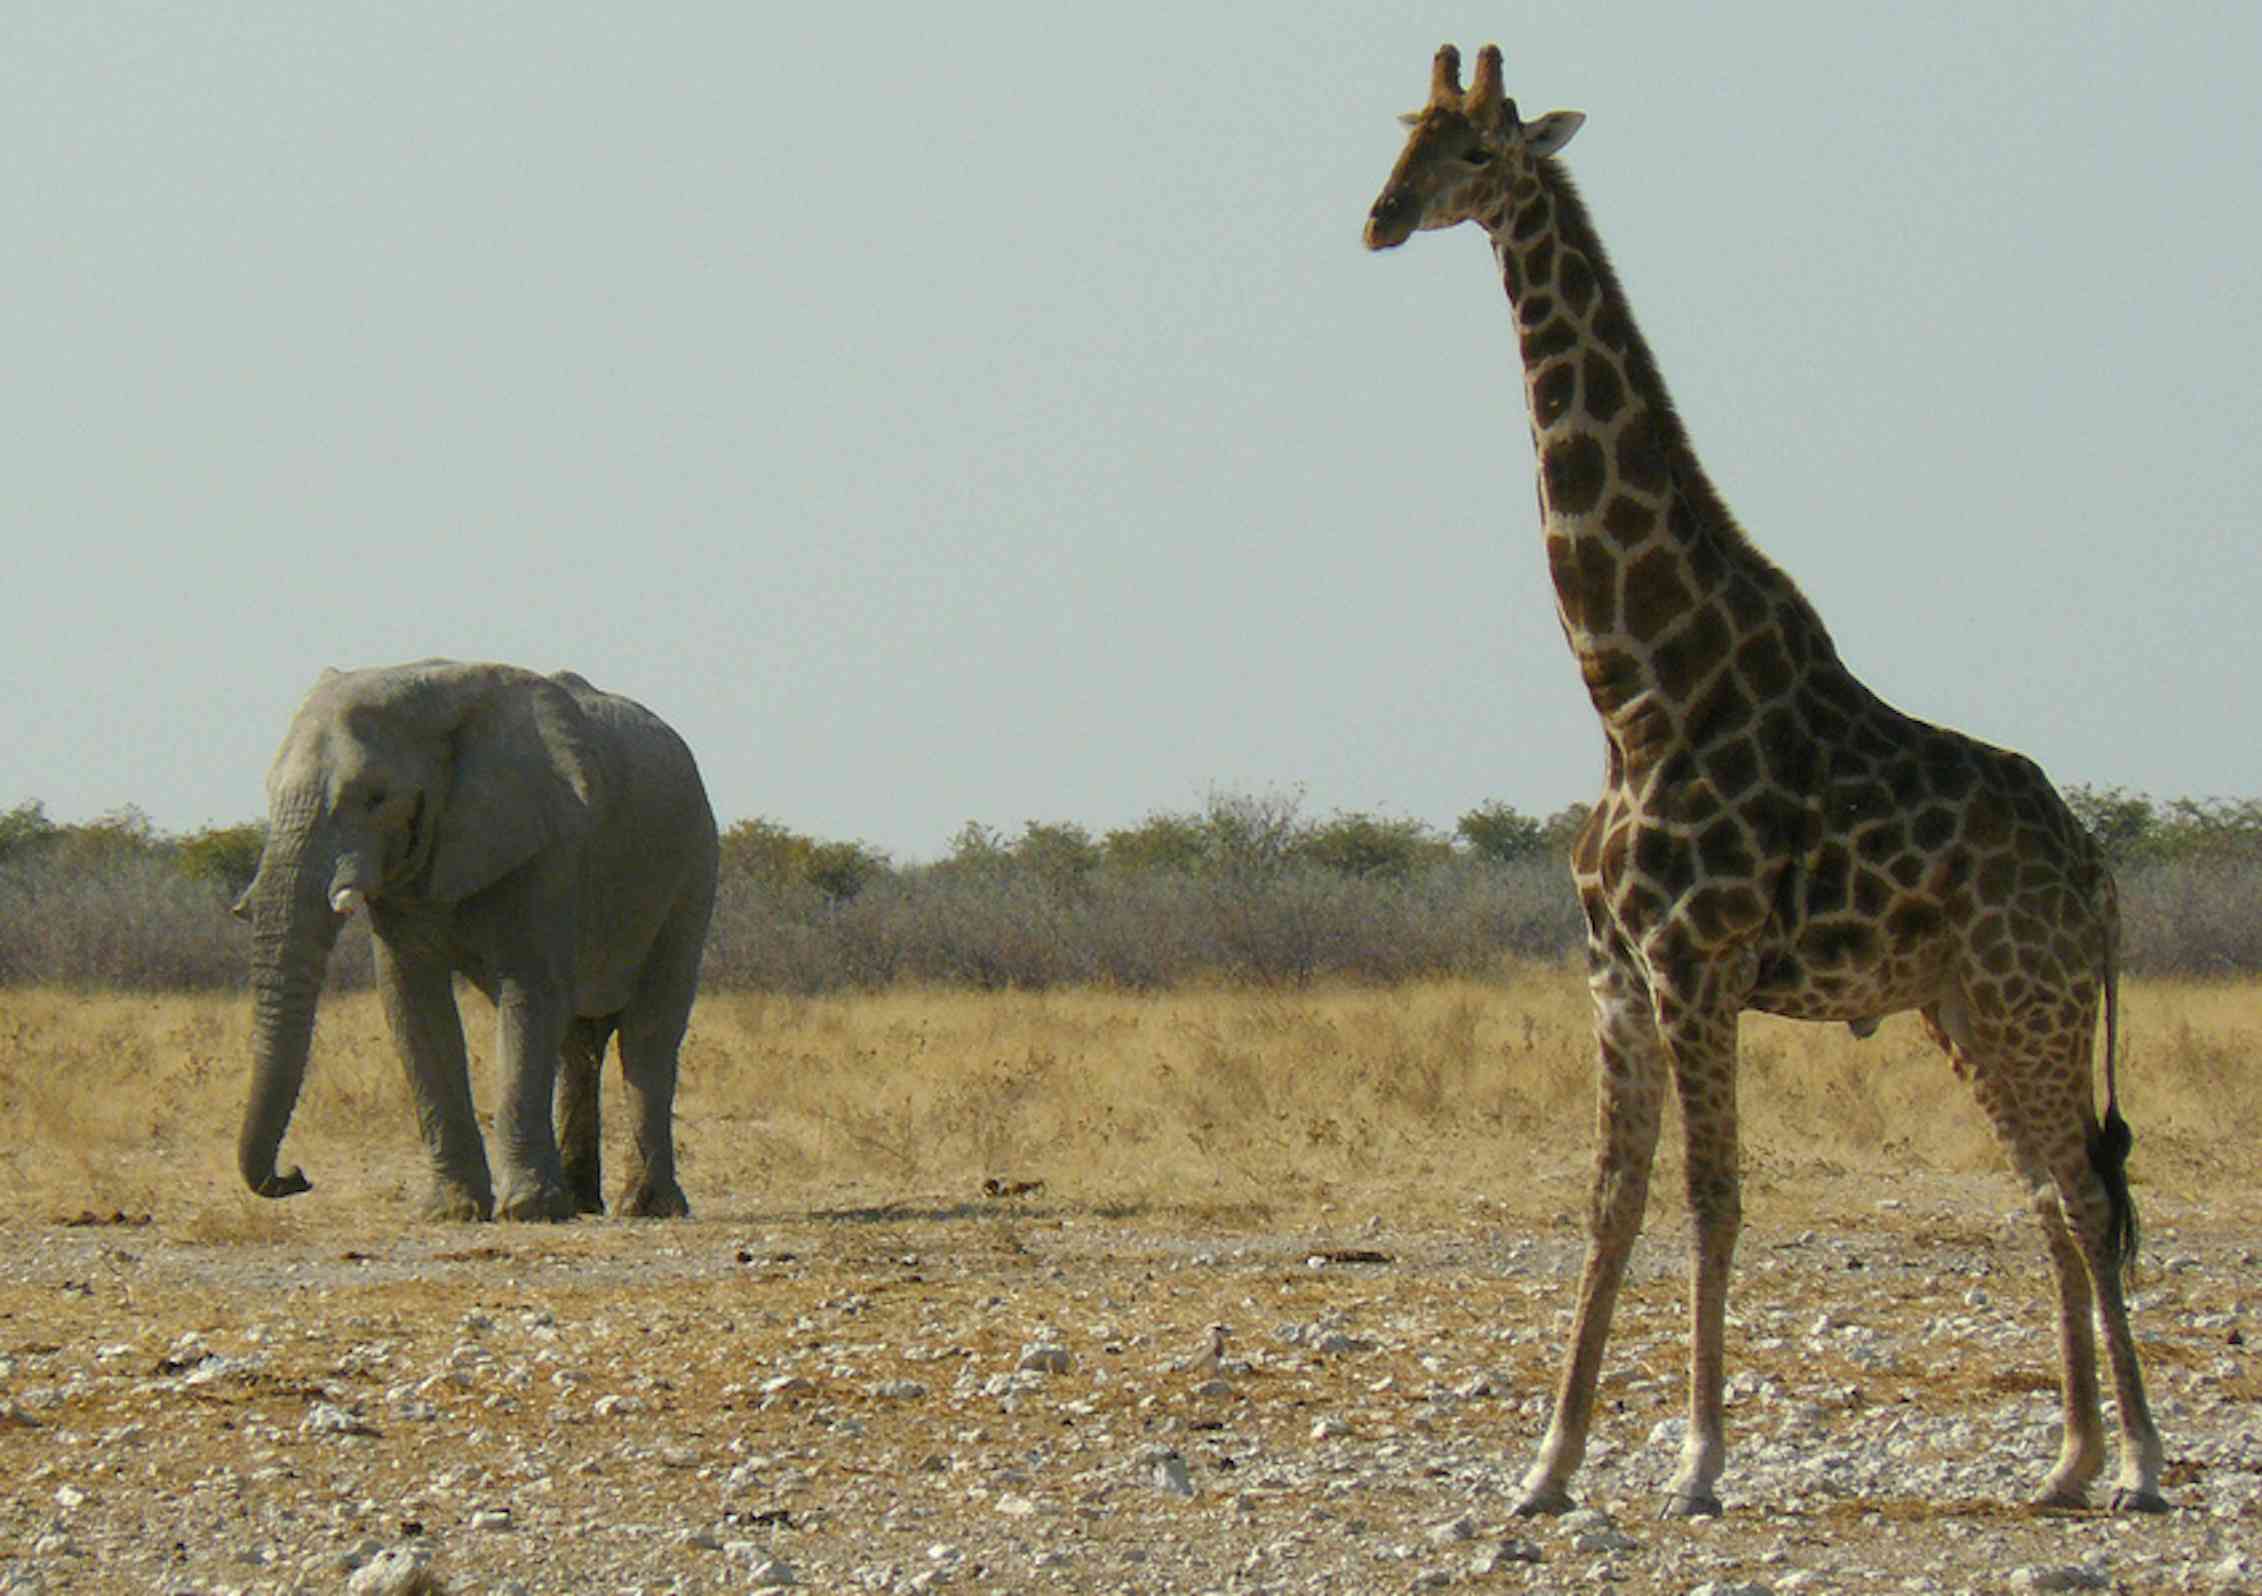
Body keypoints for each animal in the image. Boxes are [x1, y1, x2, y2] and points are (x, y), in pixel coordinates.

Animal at [1362, 45, 2166, 1518]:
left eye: (1480, 150)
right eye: (1402, 136)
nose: (1381, 219)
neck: (1632, 691)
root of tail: (2099, 870)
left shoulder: (1697, 964)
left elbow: (1711, 1197)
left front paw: (1695, 1461)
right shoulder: (1614, 975)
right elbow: (1609, 1202)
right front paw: (1548, 1467)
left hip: (2031, 994)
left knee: (2083, 1191)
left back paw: (2139, 1460)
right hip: (1962, 1006)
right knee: (2044, 1189)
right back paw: (2069, 1460)